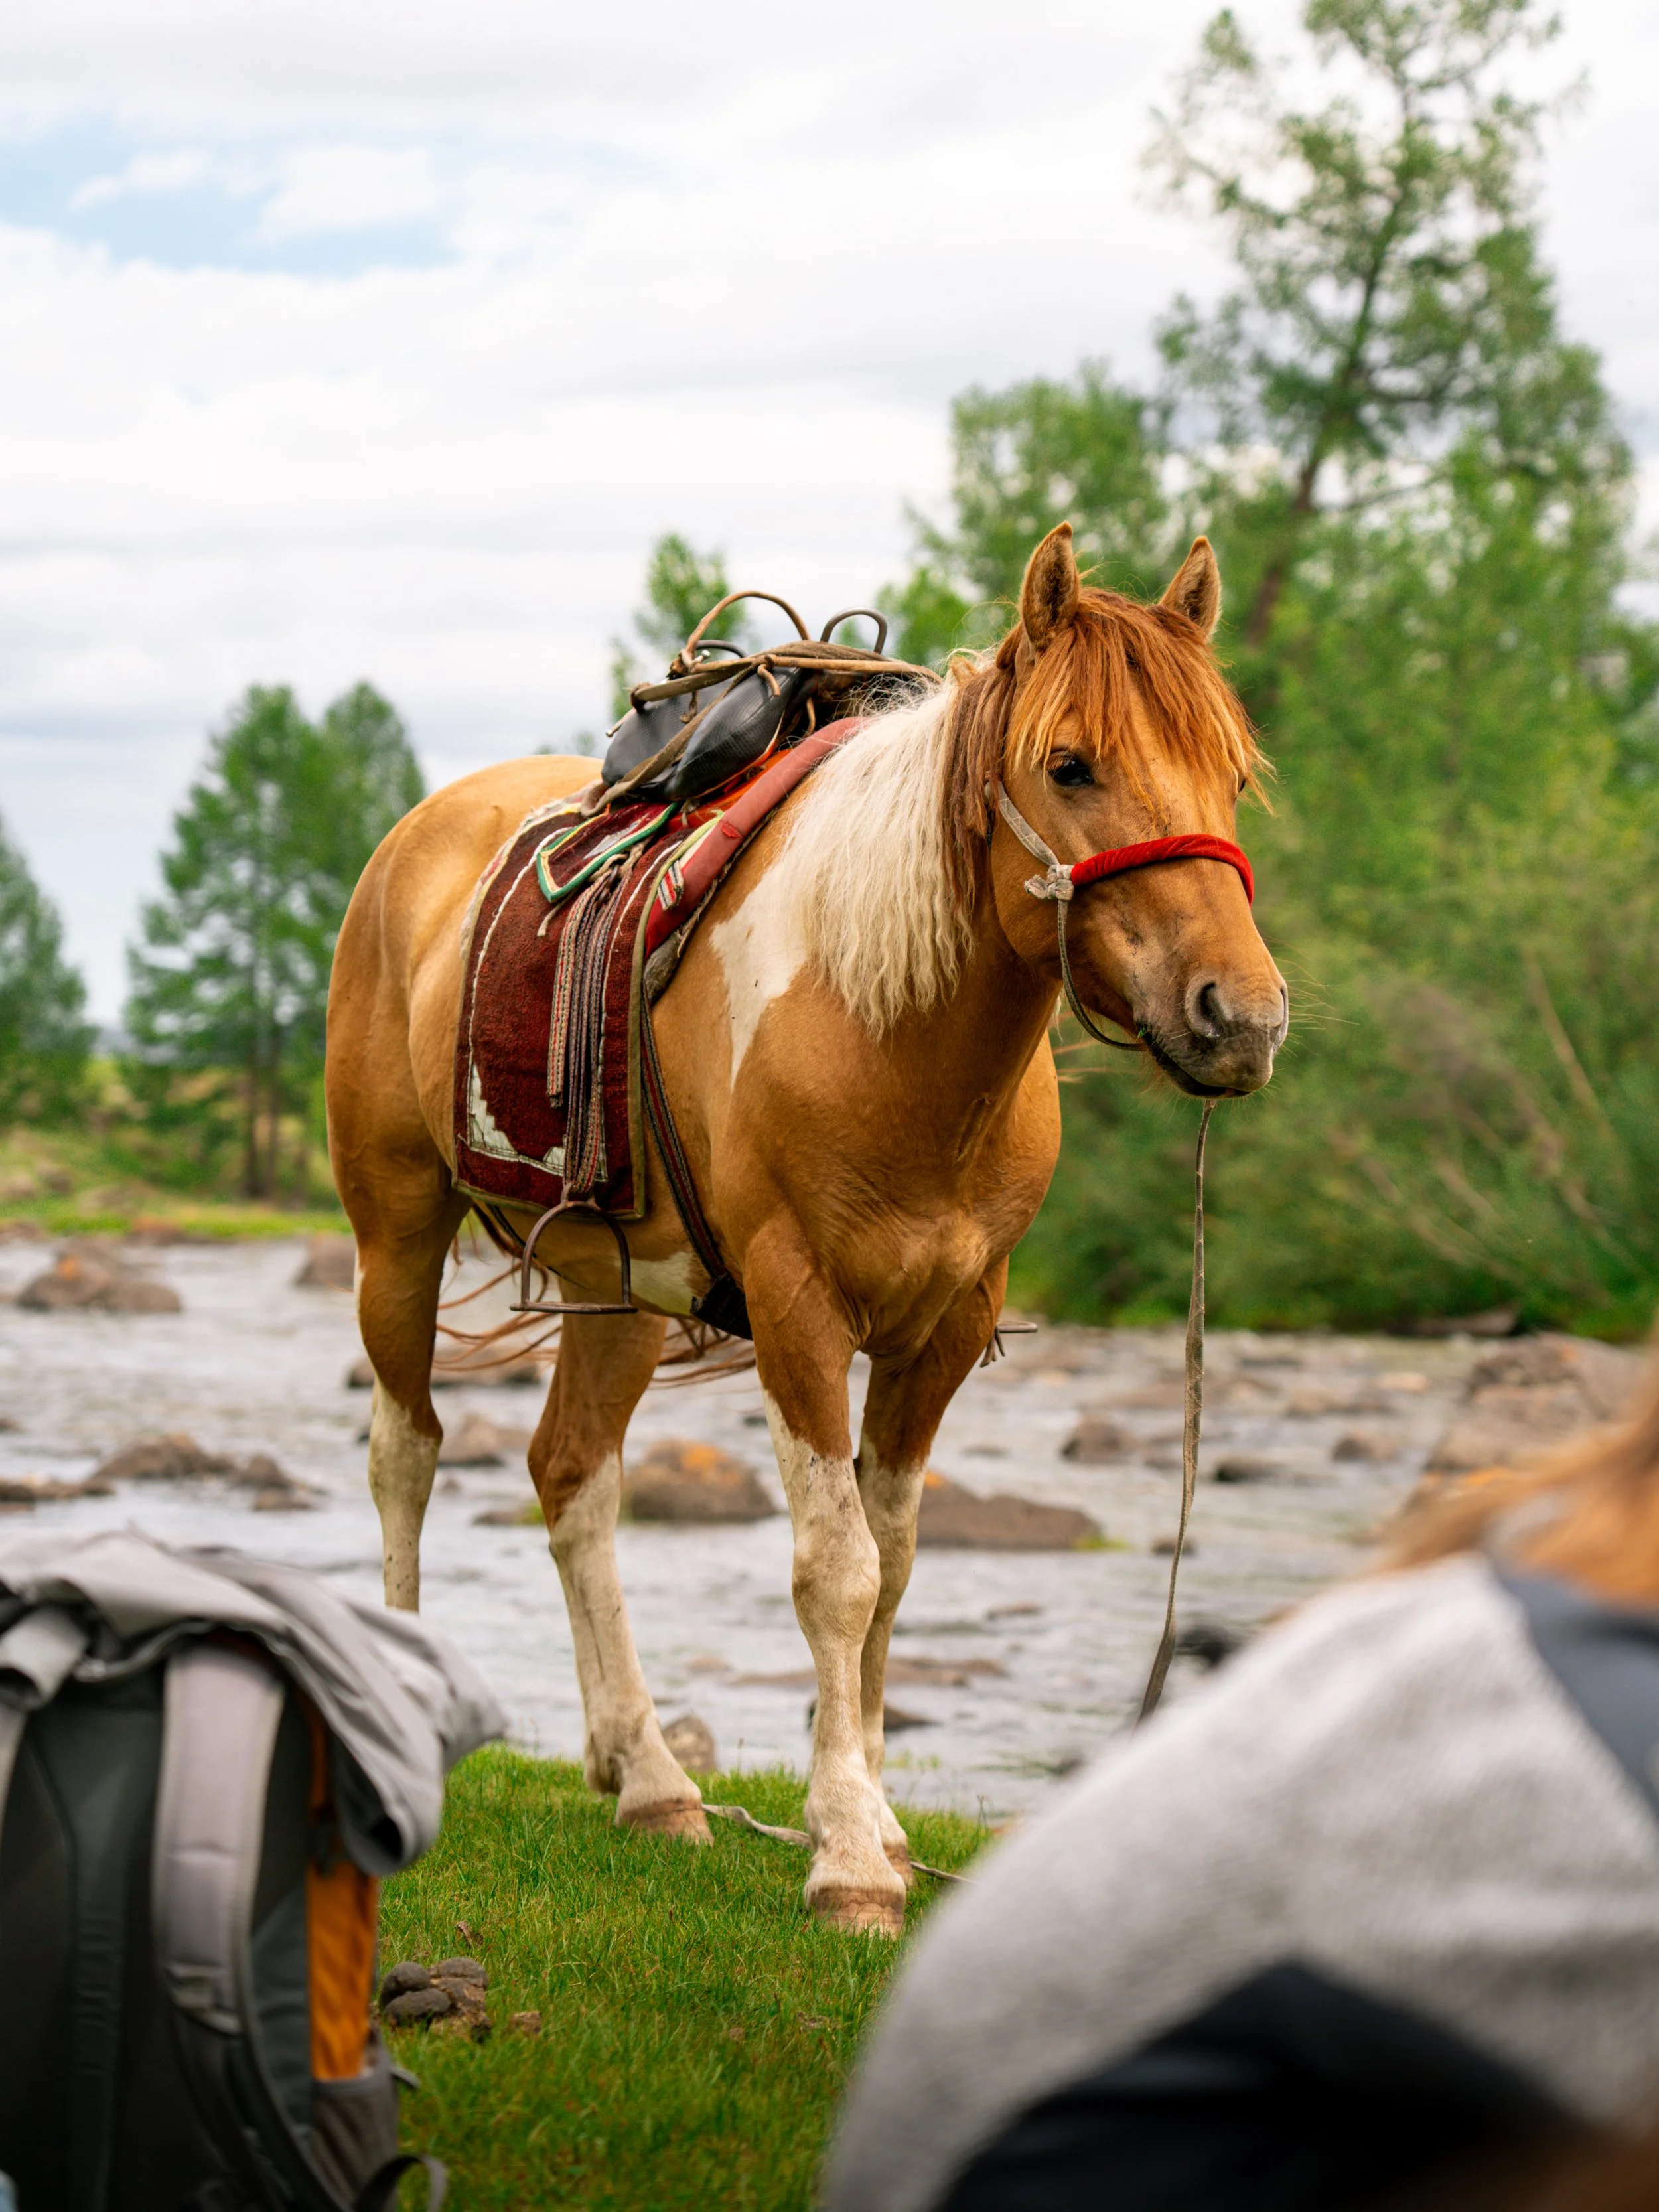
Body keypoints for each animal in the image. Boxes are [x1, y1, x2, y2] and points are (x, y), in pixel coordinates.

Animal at [324, 522, 1287, 1934]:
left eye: (1230, 771)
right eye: (1071, 764)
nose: (1239, 1016)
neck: (887, 1025)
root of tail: (420, 832)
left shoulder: (949, 1322)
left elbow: (894, 1560)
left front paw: (875, 1822)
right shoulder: (796, 1306)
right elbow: (835, 1570)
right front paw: (846, 1858)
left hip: (622, 1284)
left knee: (573, 1478)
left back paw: (648, 1774)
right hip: (394, 1228)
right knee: (407, 1453)